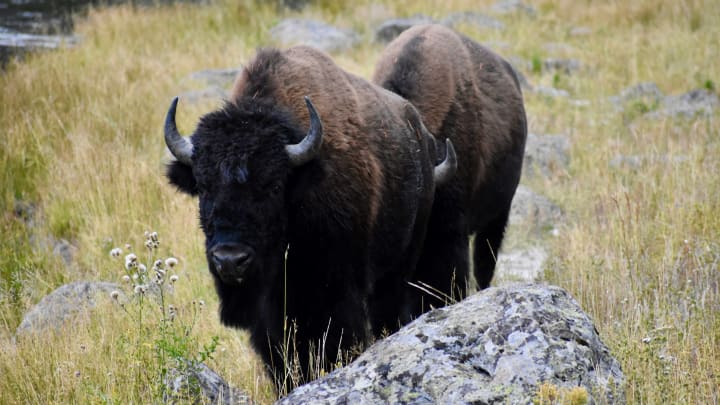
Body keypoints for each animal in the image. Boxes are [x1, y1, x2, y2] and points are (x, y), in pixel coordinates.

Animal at [163, 45, 456, 380]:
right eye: (203, 186)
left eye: (274, 186)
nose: (230, 260)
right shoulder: (269, 317)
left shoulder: (339, 296)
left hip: (397, 270)